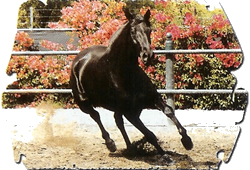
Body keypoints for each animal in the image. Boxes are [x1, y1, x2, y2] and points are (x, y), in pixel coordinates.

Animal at [70, 9, 193, 157]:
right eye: (133, 31)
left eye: (149, 30)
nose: (147, 55)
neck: (124, 73)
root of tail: (79, 59)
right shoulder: (130, 112)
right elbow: (150, 135)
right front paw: (164, 155)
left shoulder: (152, 100)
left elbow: (169, 111)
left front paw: (187, 141)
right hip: (83, 103)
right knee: (96, 115)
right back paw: (111, 144)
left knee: (117, 121)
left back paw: (130, 148)